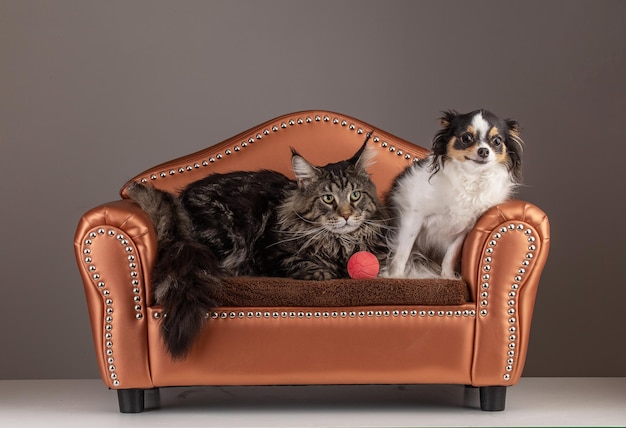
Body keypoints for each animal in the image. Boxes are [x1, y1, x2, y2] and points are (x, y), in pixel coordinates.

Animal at [126, 141, 386, 358]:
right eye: (328, 198)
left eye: (355, 195)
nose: (346, 216)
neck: (340, 243)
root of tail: (179, 203)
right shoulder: (270, 254)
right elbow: (309, 265)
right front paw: (325, 271)